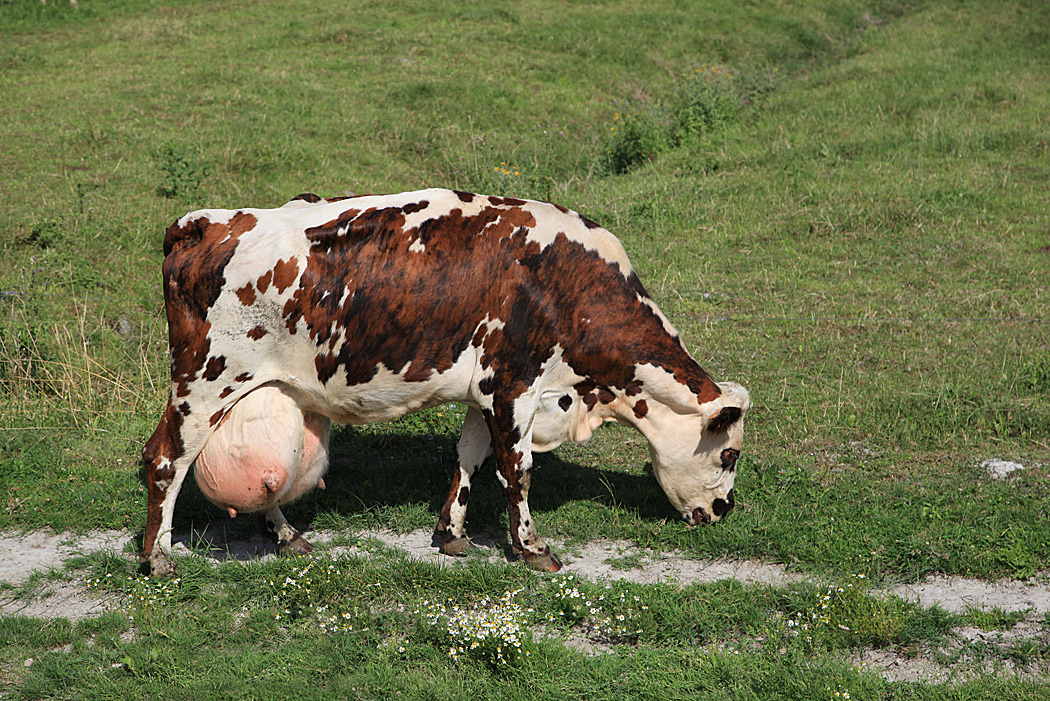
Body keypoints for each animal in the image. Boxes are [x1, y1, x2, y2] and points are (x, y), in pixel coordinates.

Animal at [139, 185, 751, 575]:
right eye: (729, 454)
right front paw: (533, 549)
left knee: (264, 476)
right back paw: (157, 558)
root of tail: (201, 223)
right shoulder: (515, 384)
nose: (725, 510)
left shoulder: (486, 389)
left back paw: (288, 537)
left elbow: (468, 458)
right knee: (165, 459)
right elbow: (517, 472)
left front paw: (452, 534)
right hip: (205, 382)